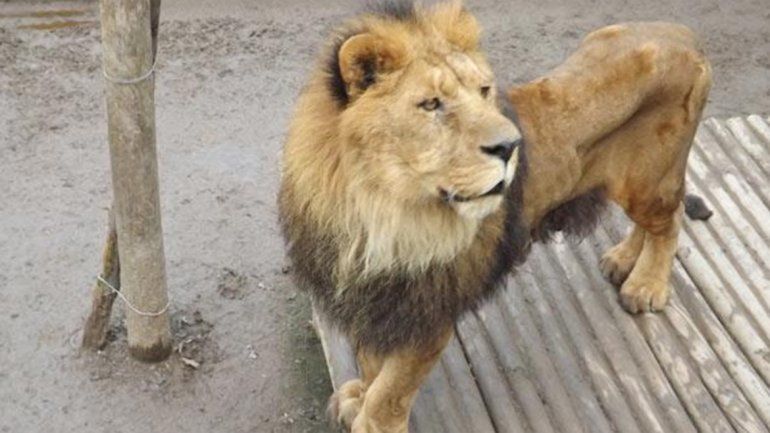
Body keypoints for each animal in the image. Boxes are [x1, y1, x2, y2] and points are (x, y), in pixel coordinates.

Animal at [278, 1, 711, 432]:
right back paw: (622, 259)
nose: (511, 145)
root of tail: (683, 35)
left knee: (670, 221)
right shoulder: (371, 299)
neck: (376, 212)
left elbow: (392, 390)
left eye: (483, 91)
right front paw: (360, 396)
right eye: (431, 104)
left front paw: (375, 420)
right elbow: (371, 364)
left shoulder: (429, 317)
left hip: (648, 181)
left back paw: (645, 285)